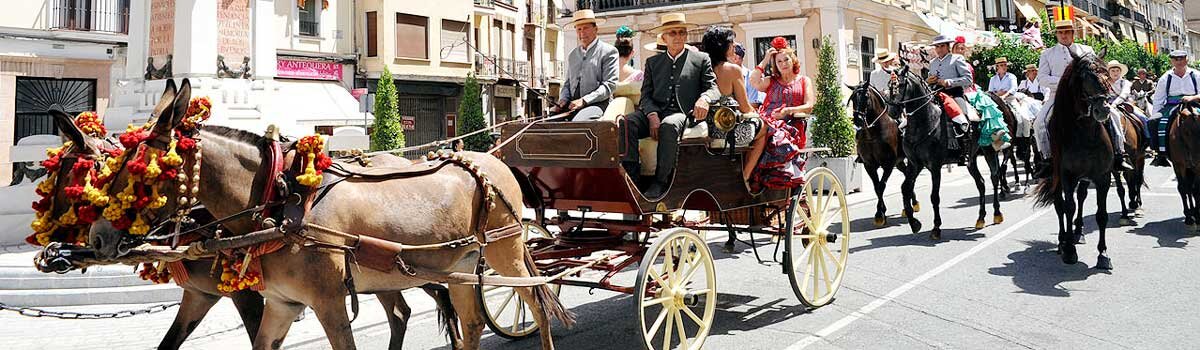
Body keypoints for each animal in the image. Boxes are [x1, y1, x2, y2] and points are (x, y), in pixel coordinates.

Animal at [38, 106, 458, 350]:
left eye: (74, 176)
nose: (96, 239)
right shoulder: (200, 295)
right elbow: (169, 344)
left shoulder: (249, 296)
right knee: (404, 312)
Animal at [844, 82, 916, 226]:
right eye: (853, 98)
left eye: (866, 96)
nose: (857, 120)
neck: (872, 133)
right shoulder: (869, 165)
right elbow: (876, 187)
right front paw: (882, 212)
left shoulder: (888, 164)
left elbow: (881, 185)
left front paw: (879, 214)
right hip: (899, 162)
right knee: (906, 174)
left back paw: (913, 204)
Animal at [1032, 47, 1113, 269]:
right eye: (1085, 77)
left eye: (1107, 73)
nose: (1103, 109)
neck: (1086, 132)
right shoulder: (1066, 176)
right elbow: (1068, 208)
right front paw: (1069, 250)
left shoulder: (1103, 177)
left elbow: (1101, 215)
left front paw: (1103, 254)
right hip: (1057, 178)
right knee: (1060, 206)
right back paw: (1063, 241)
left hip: (1084, 179)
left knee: (1082, 196)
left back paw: (1078, 232)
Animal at [1166, 101, 1200, 232]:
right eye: (1186, 132)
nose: (1197, 157)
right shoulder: (1178, 165)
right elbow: (1183, 188)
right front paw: (1189, 218)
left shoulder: (1198, 167)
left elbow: (1196, 189)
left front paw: (1197, 216)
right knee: (1188, 188)